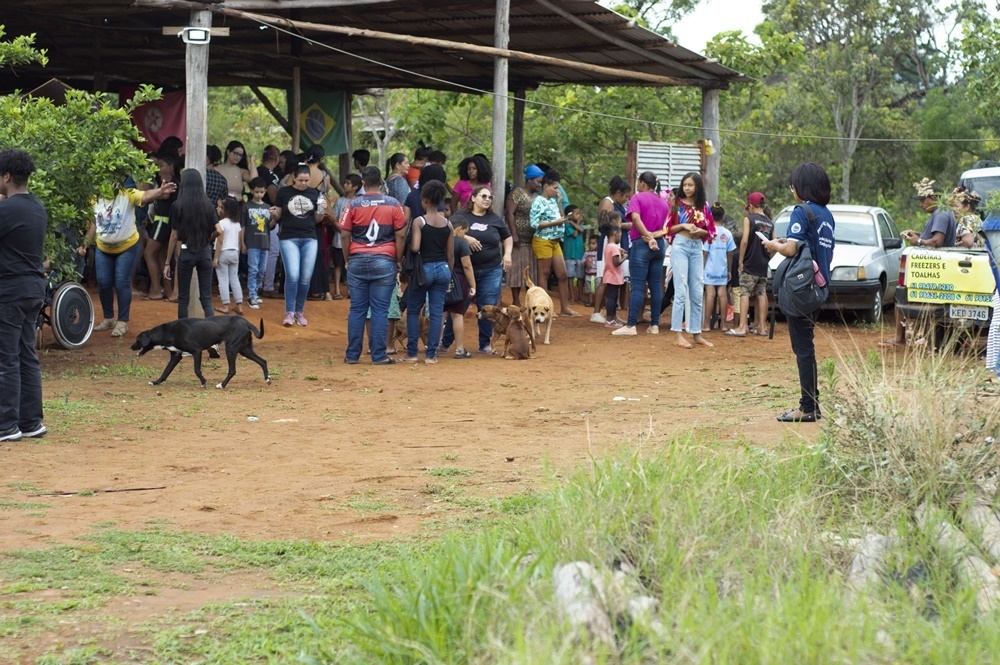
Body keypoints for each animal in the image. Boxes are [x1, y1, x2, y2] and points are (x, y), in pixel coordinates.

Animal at [131, 316, 269, 389]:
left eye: (137, 340)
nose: (131, 347)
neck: (168, 332)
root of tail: (244, 320)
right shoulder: (176, 356)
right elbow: (165, 372)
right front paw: (156, 382)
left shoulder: (196, 351)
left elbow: (197, 370)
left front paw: (203, 382)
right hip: (244, 350)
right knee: (263, 361)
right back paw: (267, 379)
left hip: (231, 349)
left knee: (232, 370)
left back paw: (222, 385)